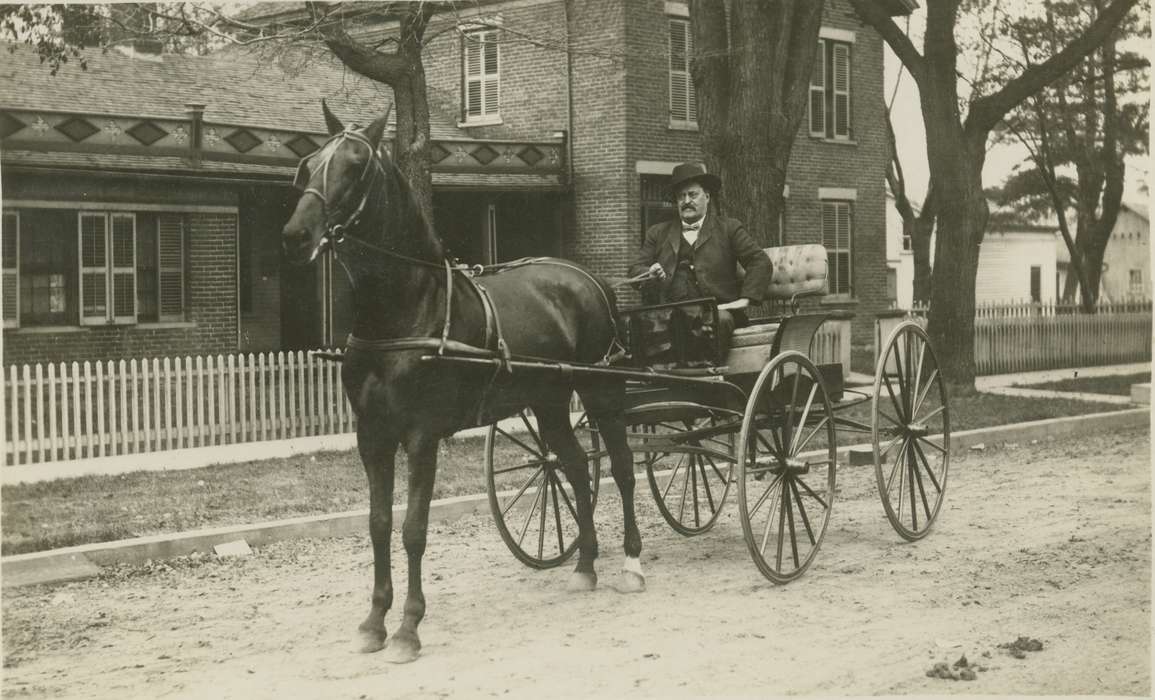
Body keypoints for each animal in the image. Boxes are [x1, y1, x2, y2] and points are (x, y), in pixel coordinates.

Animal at [276, 102, 646, 665]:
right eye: (309, 164)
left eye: (355, 166)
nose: (296, 236)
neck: (405, 310)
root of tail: (589, 278)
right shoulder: (371, 436)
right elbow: (379, 524)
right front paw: (374, 621)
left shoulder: (421, 437)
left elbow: (413, 529)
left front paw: (408, 628)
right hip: (549, 400)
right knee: (576, 466)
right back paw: (584, 566)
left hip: (601, 391)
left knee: (622, 469)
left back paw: (631, 563)